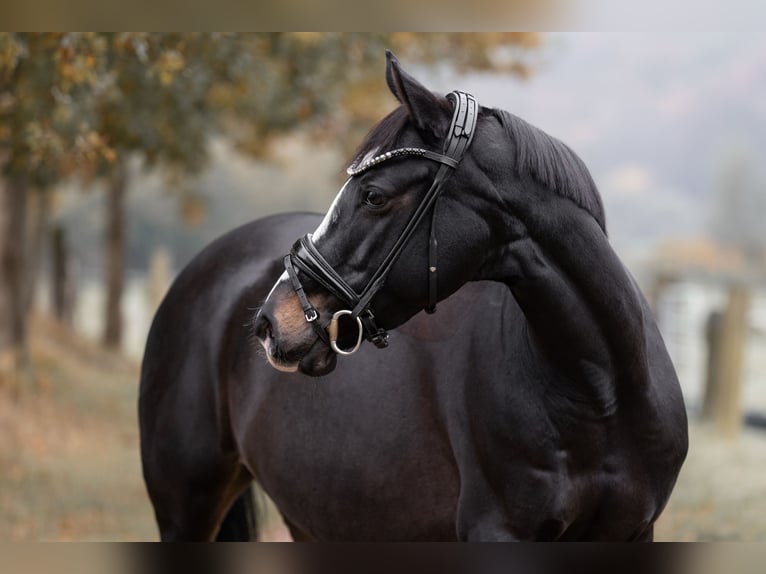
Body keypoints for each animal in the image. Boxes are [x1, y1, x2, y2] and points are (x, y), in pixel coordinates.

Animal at [140, 51, 688, 544]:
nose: (273, 321)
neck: (600, 395)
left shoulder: (633, 532)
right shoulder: (499, 531)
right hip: (186, 508)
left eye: (374, 195)